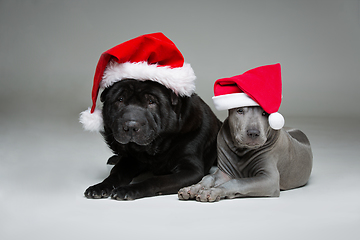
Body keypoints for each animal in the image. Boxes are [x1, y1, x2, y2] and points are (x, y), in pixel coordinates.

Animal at [83, 79, 222, 200]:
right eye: (120, 99)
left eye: (151, 102)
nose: (131, 126)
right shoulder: (130, 160)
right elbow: (116, 173)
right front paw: (100, 187)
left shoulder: (191, 170)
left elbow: (156, 180)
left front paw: (128, 190)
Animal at [179, 63, 314, 202]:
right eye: (240, 110)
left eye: (265, 113)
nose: (253, 133)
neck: (241, 151)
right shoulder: (223, 172)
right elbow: (209, 177)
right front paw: (192, 188)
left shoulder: (269, 179)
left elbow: (237, 182)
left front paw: (212, 191)